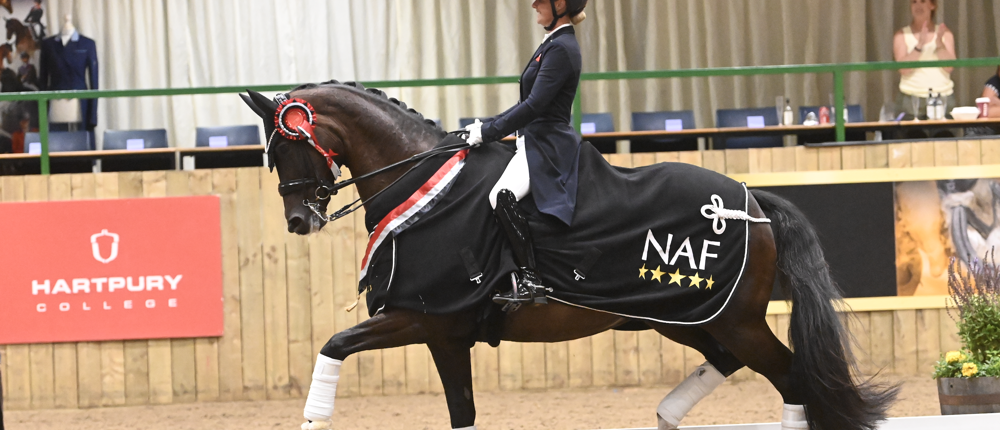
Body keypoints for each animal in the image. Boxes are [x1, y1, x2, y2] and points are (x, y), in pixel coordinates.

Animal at [240, 82, 897, 430]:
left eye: (287, 147)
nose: (299, 221)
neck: (425, 187)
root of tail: (750, 201)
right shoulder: (444, 334)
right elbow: (462, 414)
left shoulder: (420, 317)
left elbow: (333, 345)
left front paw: (313, 417)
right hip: (684, 317)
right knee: (732, 363)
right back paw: (666, 413)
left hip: (733, 319)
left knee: (789, 376)